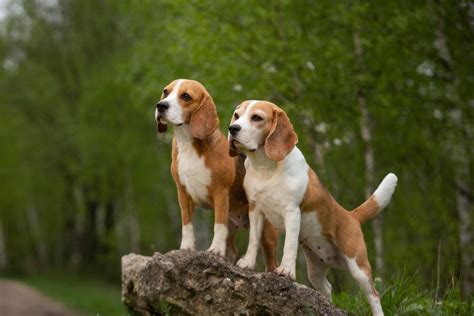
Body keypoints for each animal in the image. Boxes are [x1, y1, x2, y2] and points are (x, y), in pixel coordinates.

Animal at [156, 80, 278, 270]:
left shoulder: (220, 192)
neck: (188, 144)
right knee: (233, 249)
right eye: (165, 92)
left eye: (186, 96)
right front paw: (186, 248)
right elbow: (187, 223)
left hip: (267, 232)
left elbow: (218, 226)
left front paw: (215, 251)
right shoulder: (183, 193)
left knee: (272, 262)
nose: (161, 105)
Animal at [228, 100, 398, 316]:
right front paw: (248, 263)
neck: (266, 167)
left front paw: (286, 271)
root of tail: (351, 216)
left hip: (358, 266)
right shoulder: (255, 209)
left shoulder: (292, 212)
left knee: (374, 295)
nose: (233, 129)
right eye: (237, 115)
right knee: (327, 288)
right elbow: (253, 240)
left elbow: (289, 245)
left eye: (257, 117)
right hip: (315, 270)